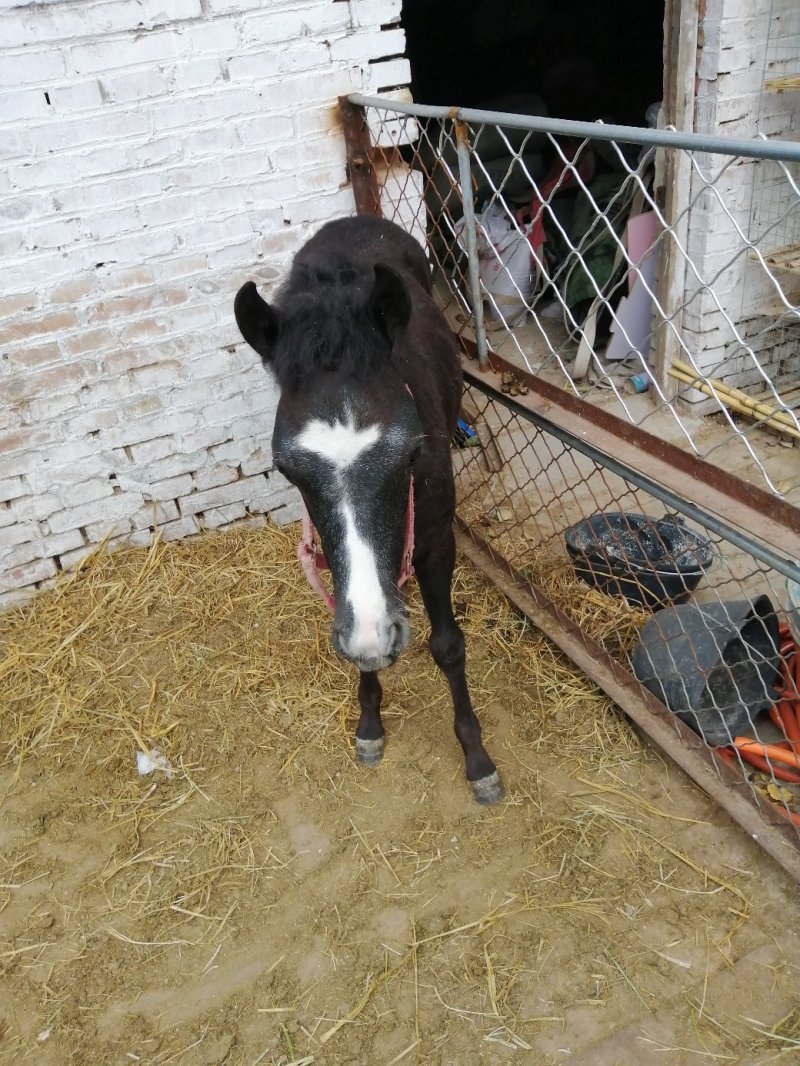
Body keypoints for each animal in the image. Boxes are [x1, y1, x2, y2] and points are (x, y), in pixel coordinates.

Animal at [234, 215, 504, 805]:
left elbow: (448, 645)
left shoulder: (436, 538)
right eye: (286, 469)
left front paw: (477, 758)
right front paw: (370, 724)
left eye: (412, 452)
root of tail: (356, 219)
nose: (377, 634)